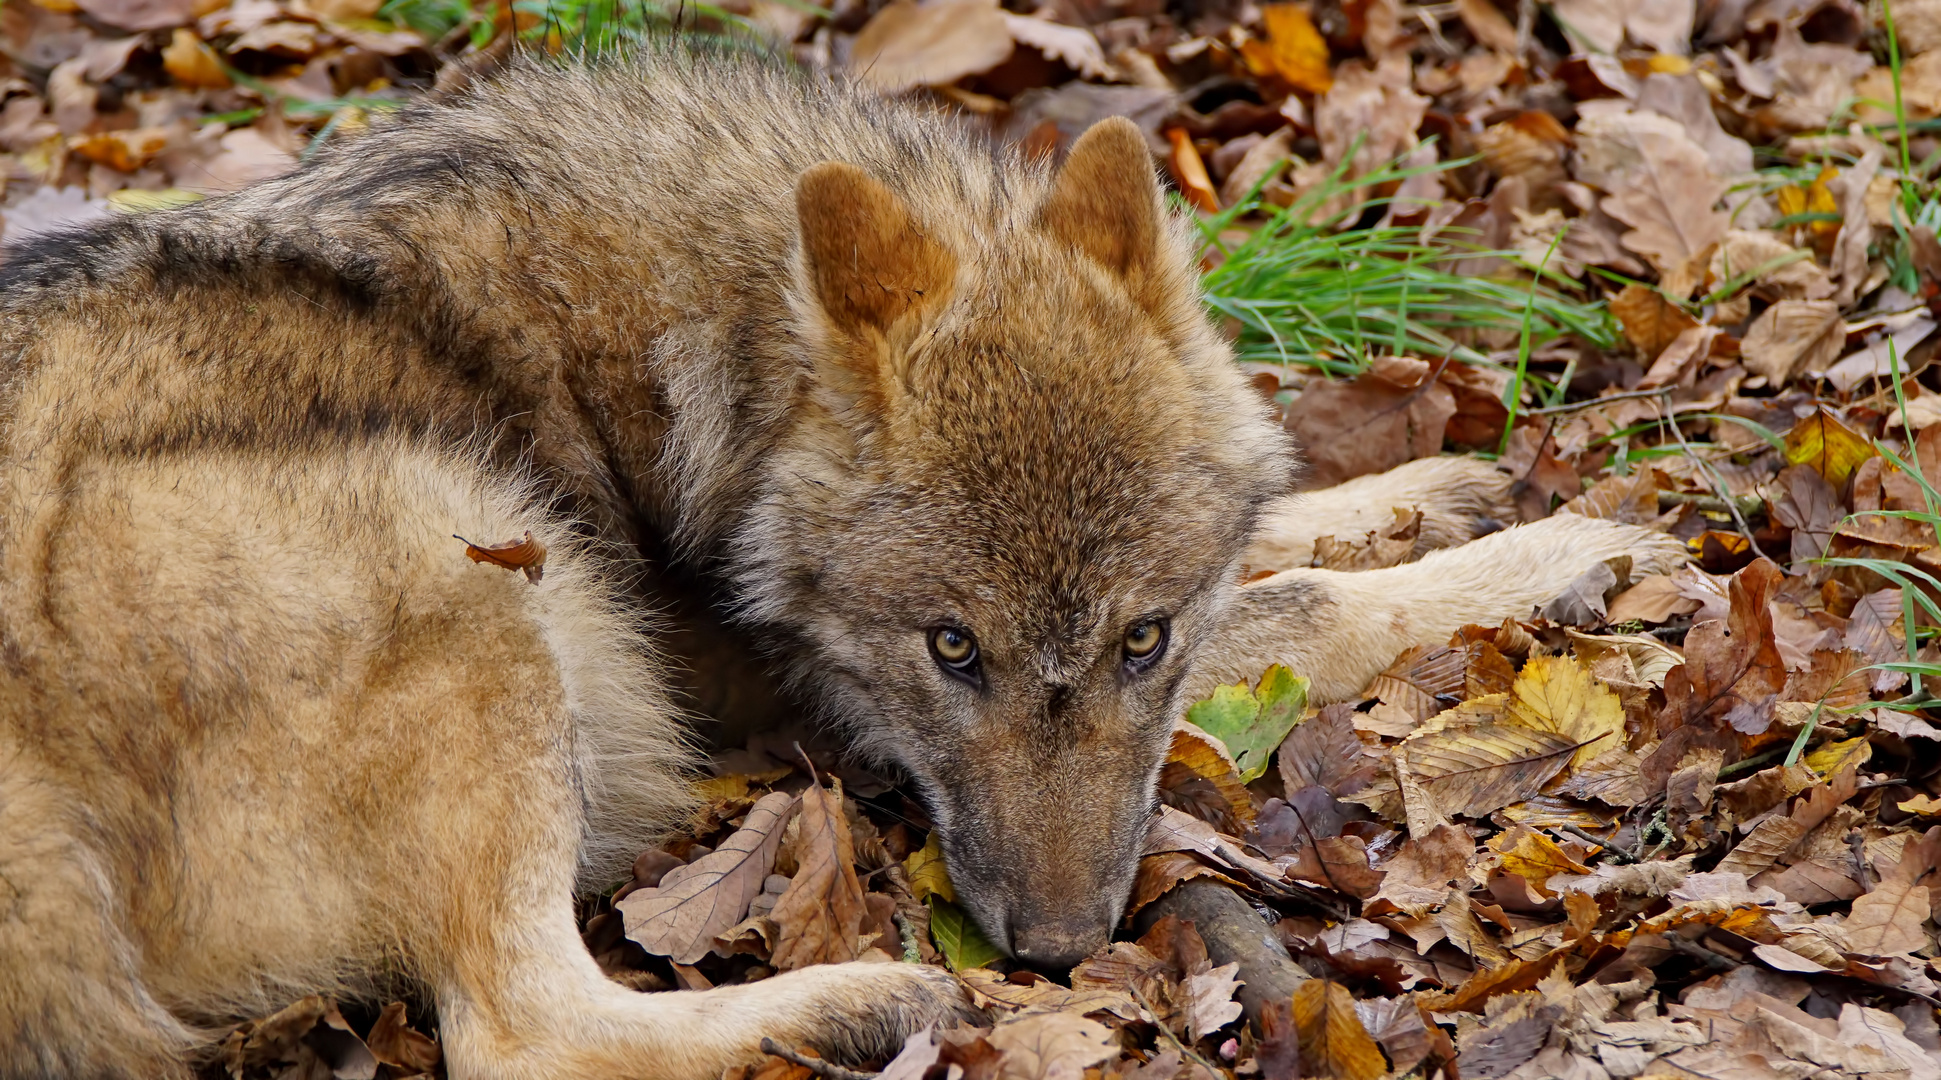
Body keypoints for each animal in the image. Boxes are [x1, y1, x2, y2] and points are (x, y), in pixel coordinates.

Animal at [0, 42, 1677, 1080]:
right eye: (951, 650)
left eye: (1140, 639)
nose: (1059, 952)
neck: (694, 353)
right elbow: (1308, 601)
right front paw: (1567, 546)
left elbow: (1281, 535)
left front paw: (1446, 489)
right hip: (466, 544)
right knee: (522, 1032)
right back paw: (867, 1003)